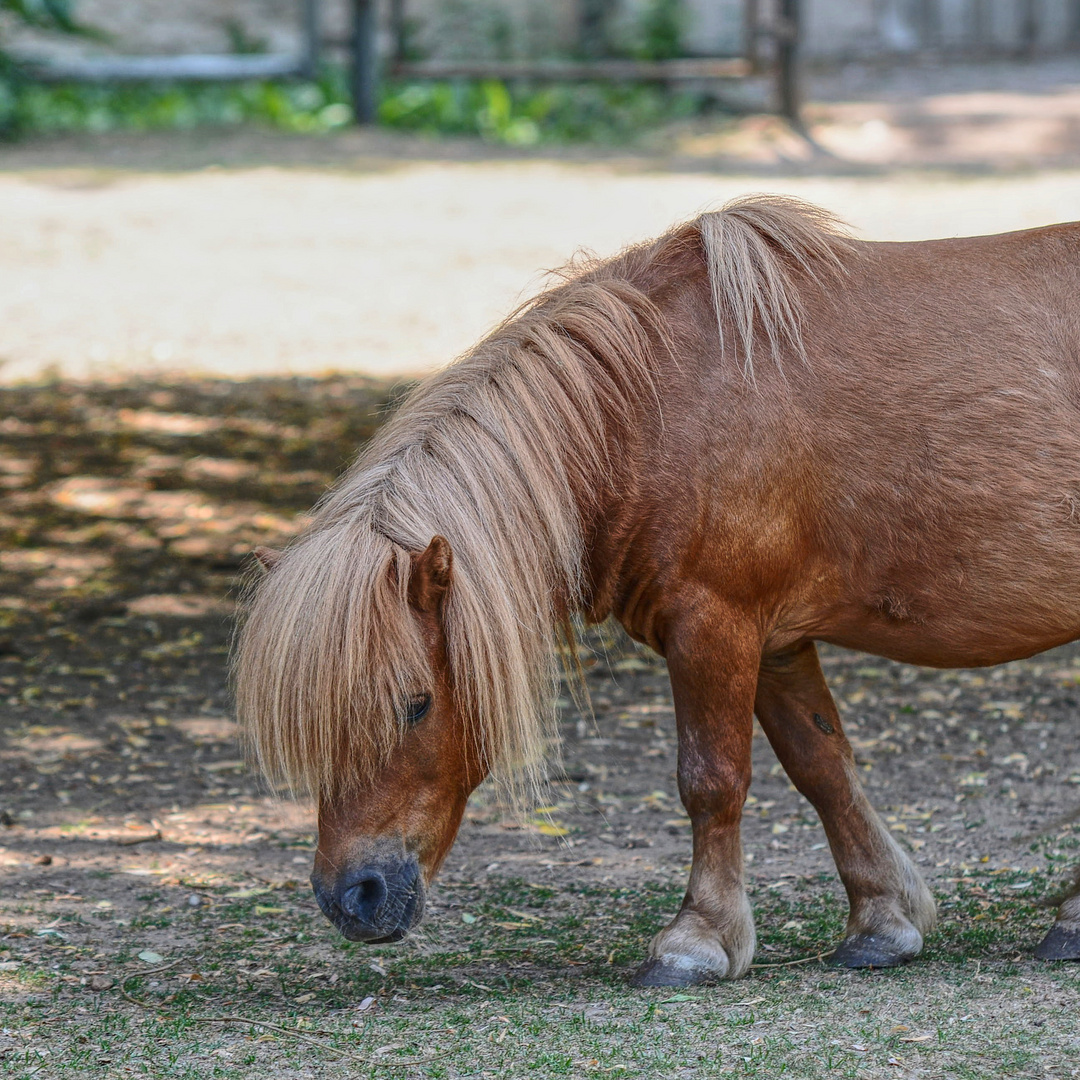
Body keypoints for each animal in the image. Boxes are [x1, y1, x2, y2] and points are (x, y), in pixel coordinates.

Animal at [234, 198, 1080, 984]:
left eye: (415, 704)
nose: (352, 897)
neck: (650, 405)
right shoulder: (775, 641)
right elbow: (822, 767)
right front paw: (882, 922)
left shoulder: (714, 625)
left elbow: (711, 781)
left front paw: (696, 940)